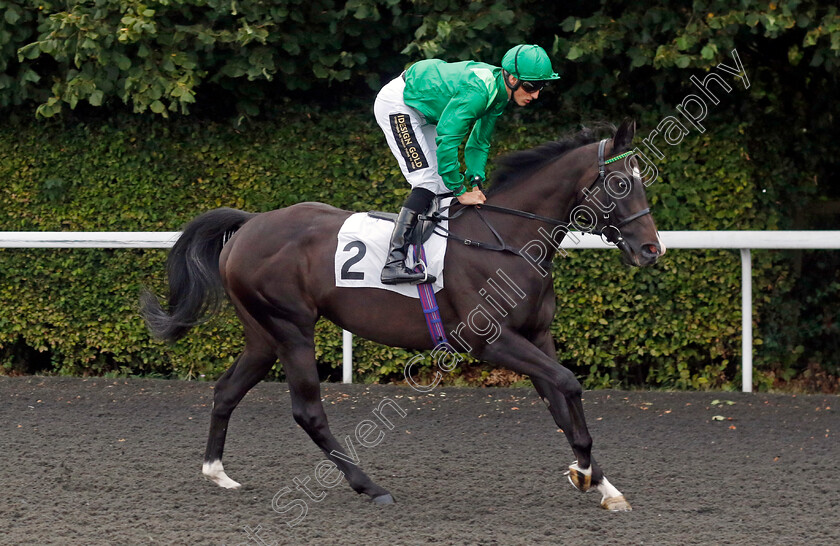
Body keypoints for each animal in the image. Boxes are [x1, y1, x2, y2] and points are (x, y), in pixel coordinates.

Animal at [141, 119, 664, 510]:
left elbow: (560, 400)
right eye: (621, 183)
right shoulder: (494, 341)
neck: (507, 240)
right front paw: (588, 474)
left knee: (227, 390)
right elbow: (570, 384)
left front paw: (600, 483)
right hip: (291, 329)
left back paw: (217, 473)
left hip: (263, 335)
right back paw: (369, 486)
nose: (650, 250)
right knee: (308, 411)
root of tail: (250, 224)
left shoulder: (536, 336)